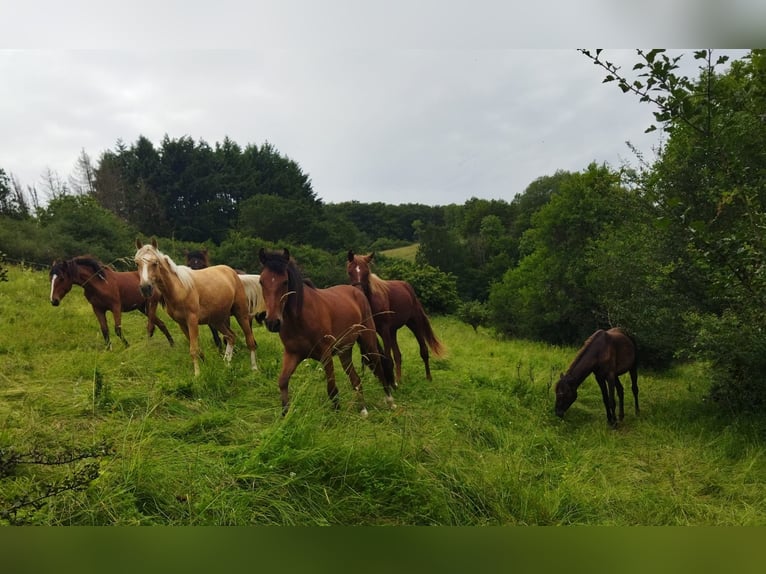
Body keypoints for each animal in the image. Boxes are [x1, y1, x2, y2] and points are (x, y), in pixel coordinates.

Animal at [135, 238, 258, 378]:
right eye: (137, 263)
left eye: (155, 263)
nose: (146, 288)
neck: (179, 289)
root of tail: (233, 273)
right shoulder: (182, 324)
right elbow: (196, 347)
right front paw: (204, 366)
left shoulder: (192, 320)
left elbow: (193, 349)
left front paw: (197, 374)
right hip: (217, 320)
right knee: (231, 337)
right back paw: (226, 365)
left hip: (240, 314)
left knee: (249, 340)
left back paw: (254, 368)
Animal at [260, 249, 400, 418]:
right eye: (261, 282)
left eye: (285, 282)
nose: (272, 322)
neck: (300, 318)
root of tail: (357, 292)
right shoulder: (292, 354)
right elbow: (282, 382)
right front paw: (285, 415)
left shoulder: (325, 354)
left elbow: (332, 388)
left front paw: (336, 412)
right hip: (344, 351)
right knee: (356, 379)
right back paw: (363, 410)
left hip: (368, 341)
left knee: (379, 367)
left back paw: (390, 401)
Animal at [346, 253, 448, 384]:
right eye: (350, 272)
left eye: (366, 272)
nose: (359, 293)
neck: (372, 303)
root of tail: (408, 288)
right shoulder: (372, 331)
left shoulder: (384, 330)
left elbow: (387, 358)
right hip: (393, 331)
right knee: (398, 355)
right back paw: (399, 380)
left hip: (414, 324)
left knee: (424, 351)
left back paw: (428, 378)